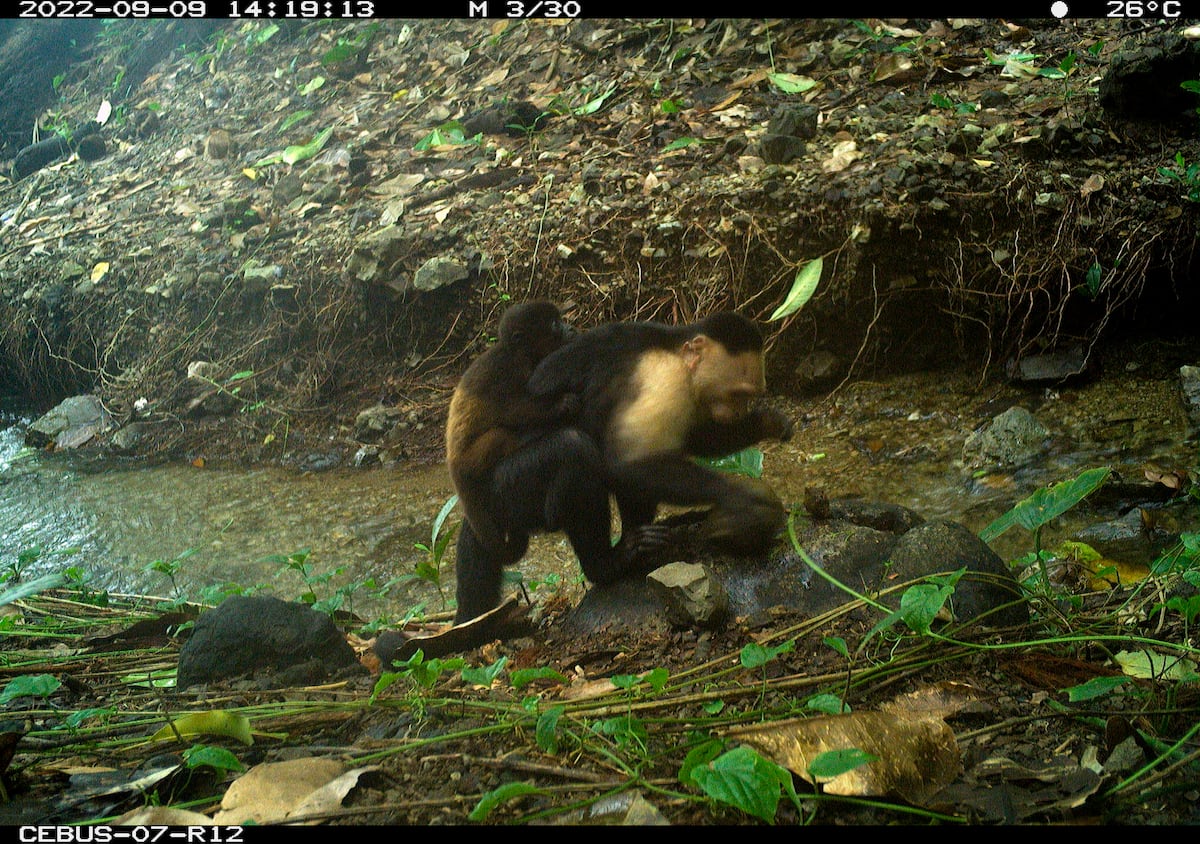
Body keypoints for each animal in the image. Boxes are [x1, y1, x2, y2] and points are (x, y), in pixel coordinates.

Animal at [526, 310, 793, 557]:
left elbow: (699, 440)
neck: (677, 353)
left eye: (750, 396)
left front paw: (769, 422)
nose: (739, 413)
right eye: (738, 394)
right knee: (579, 451)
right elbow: (629, 463)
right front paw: (743, 499)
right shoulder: (666, 381)